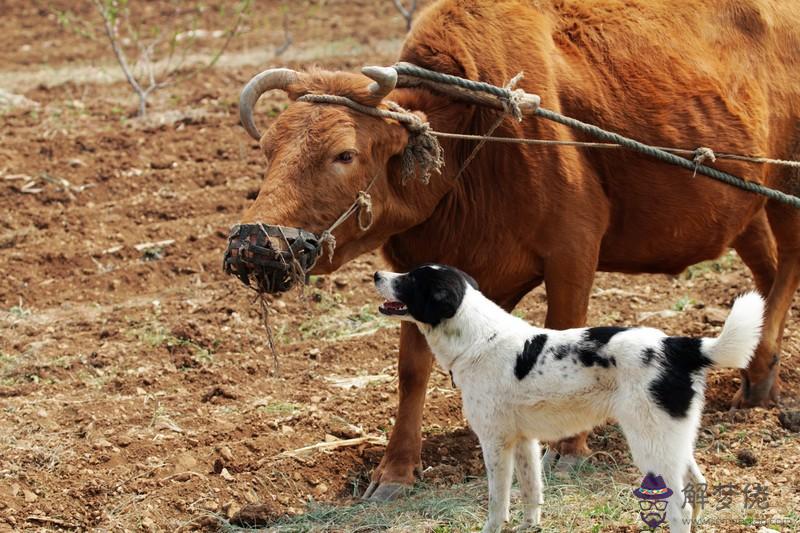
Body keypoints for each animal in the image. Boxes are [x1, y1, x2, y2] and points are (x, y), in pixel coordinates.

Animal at [228, 0, 796, 500]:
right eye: (269, 147)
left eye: (344, 154)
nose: (254, 244)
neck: (476, 135)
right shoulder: (419, 270)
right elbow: (412, 372)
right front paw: (395, 472)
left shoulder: (572, 253)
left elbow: (567, 329)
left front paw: (569, 447)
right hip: (747, 211)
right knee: (767, 278)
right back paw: (760, 376)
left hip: (785, 188)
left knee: (787, 268)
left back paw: (760, 371)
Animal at [376, 264, 764, 532]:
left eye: (410, 279)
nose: (378, 273)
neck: (480, 339)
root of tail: (680, 346)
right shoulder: (524, 441)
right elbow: (532, 491)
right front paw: (530, 527)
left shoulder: (496, 443)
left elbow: (498, 502)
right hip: (672, 442)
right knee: (698, 486)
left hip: (650, 445)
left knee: (678, 506)